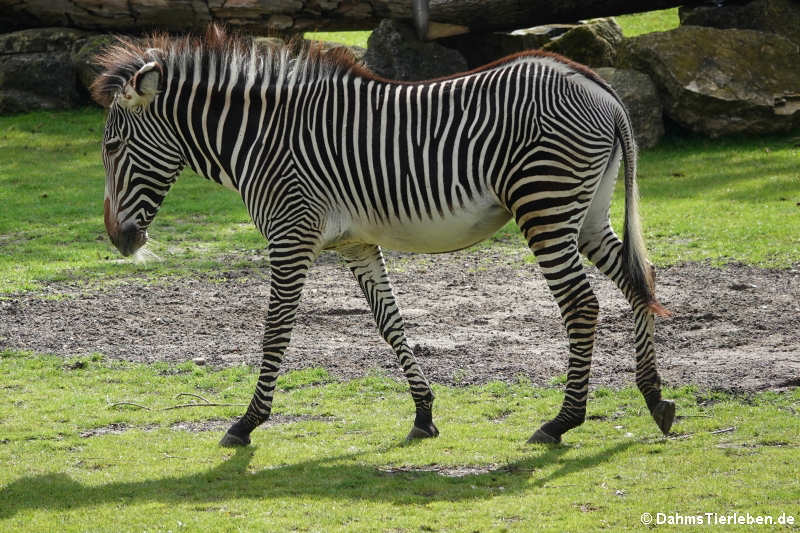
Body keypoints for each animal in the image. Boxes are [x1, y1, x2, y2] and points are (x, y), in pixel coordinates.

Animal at [92, 27, 676, 446]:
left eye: (113, 148)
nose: (120, 241)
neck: (261, 139)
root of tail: (600, 88)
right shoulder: (355, 243)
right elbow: (389, 322)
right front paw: (424, 413)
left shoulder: (291, 234)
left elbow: (276, 330)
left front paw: (247, 422)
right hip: (587, 213)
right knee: (638, 279)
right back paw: (655, 400)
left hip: (545, 206)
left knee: (582, 305)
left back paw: (562, 421)